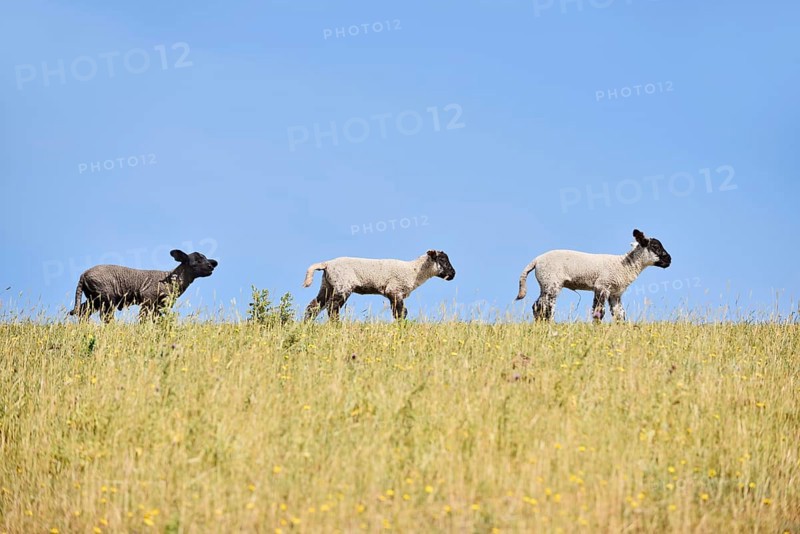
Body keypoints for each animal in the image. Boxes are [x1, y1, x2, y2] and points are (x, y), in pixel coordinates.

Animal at [68, 249, 218, 322]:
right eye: (196, 262)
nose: (211, 267)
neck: (171, 279)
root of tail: (83, 275)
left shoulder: (160, 305)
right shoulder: (148, 298)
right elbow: (143, 318)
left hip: (94, 297)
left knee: (83, 311)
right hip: (106, 296)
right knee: (105, 316)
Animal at [303, 250, 456, 321]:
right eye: (442, 260)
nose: (453, 274)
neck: (414, 271)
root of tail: (326, 264)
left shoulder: (393, 295)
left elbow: (398, 312)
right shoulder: (394, 290)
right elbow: (401, 312)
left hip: (327, 285)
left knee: (313, 306)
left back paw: (307, 324)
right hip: (343, 286)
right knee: (332, 308)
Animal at [515, 229, 671, 321]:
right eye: (655, 246)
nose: (669, 260)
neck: (623, 265)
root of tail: (536, 260)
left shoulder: (615, 293)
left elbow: (619, 314)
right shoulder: (602, 286)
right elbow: (598, 312)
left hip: (545, 283)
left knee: (538, 306)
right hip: (551, 282)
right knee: (544, 307)